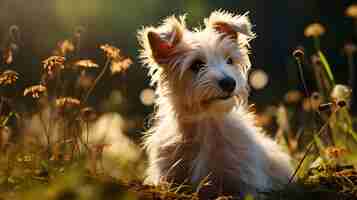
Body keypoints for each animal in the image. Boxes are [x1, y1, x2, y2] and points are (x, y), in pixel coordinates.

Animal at [138, 10, 290, 197]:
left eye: (229, 60)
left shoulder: (244, 182)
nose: (229, 83)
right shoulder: (169, 178)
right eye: (196, 65)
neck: (206, 123)